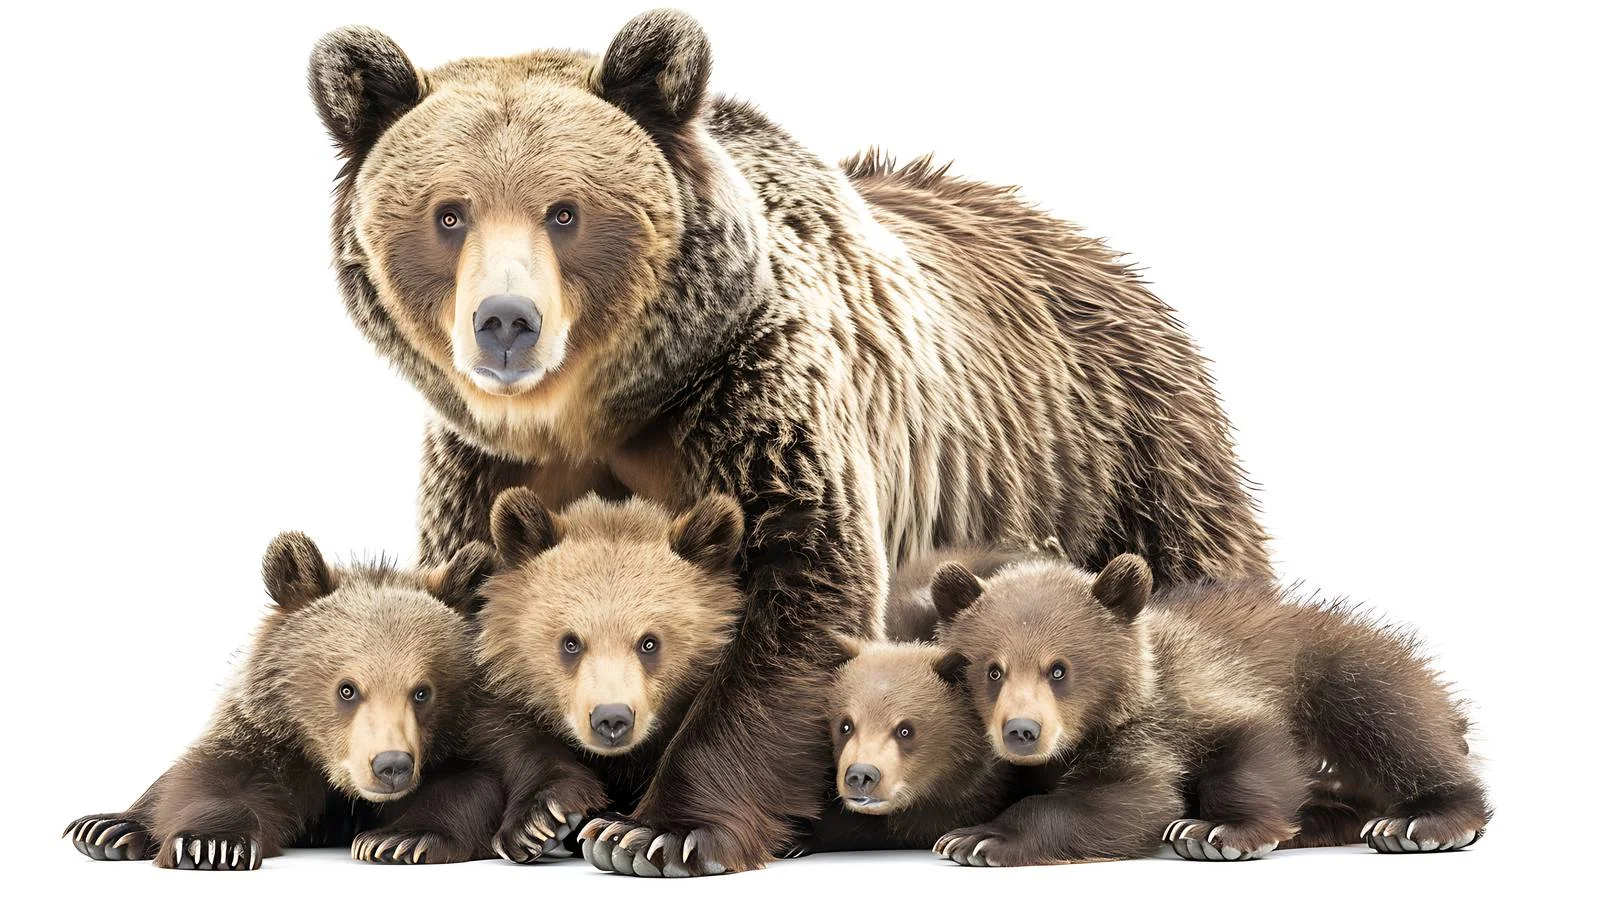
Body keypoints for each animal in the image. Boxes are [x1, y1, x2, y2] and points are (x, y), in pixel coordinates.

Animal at [63, 532, 502, 869]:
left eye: (422, 691)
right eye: (347, 688)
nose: (391, 765)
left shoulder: (465, 739)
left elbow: (471, 786)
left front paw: (397, 840)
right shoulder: (270, 737)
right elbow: (217, 778)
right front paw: (213, 844)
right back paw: (108, 828)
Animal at [926, 556, 1490, 866]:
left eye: (1059, 669)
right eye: (992, 670)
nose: (1023, 731)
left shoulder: (1180, 704)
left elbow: (1139, 796)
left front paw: (1212, 833)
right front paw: (964, 829)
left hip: (1347, 667)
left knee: (1393, 723)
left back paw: (1418, 823)